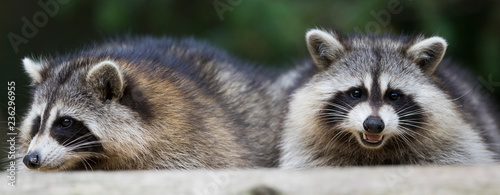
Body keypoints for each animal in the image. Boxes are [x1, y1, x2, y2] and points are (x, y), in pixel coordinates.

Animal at [280, 29, 498, 168]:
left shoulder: (453, 141)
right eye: (356, 93)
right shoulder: (308, 146)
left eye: (394, 95)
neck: (374, 151)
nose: (374, 125)